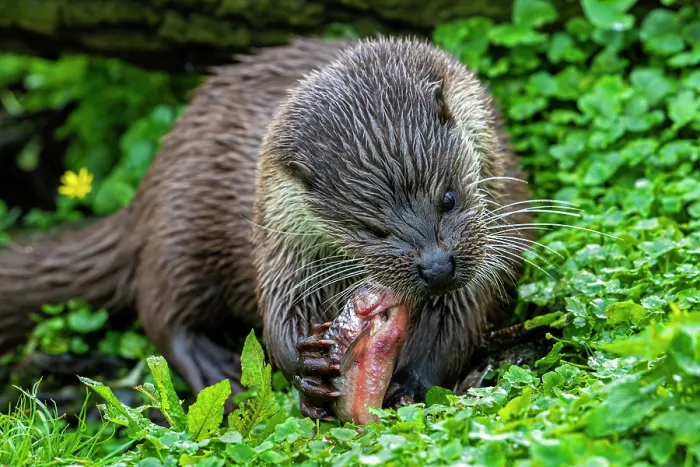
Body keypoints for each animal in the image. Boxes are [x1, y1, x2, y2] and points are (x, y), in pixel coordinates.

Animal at [0, 37, 532, 419]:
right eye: (370, 228)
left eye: (448, 198)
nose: (437, 266)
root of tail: (151, 182)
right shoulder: (278, 231)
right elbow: (277, 311)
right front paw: (308, 364)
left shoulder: (500, 215)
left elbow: (460, 317)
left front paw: (411, 382)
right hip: (180, 229)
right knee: (160, 306)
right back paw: (214, 365)